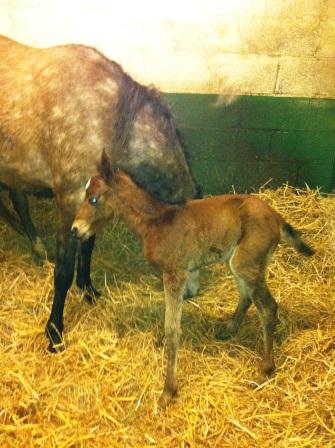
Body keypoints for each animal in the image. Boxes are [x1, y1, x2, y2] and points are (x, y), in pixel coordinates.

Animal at [73, 158, 316, 406]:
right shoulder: (186, 273)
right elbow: (180, 306)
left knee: (268, 307)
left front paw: (168, 391)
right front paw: (160, 341)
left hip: (245, 261)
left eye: (93, 198)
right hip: (239, 260)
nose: (75, 229)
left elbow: (173, 327)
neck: (156, 223)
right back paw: (229, 330)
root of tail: (277, 218)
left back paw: (265, 369)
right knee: (246, 295)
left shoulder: (174, 274)